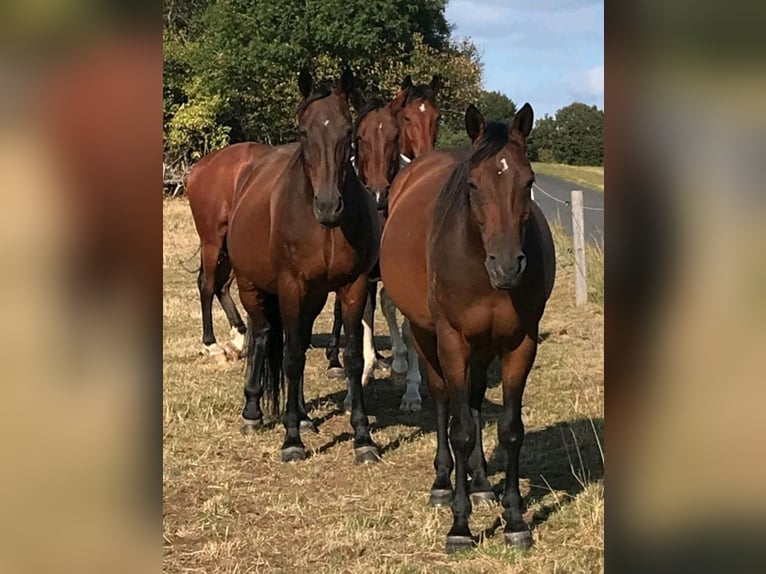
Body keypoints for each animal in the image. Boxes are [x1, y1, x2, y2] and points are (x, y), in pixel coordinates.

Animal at [186, 142, 272, 362]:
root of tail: (202, 166)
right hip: (212, 241)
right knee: (207, 285)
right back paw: (212, 344)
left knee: (221, 286)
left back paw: (238, 339)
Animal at [228, 71, 384, 468]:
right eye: (302, 131)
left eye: (348, 130)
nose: (328, 207)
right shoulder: (290, 286)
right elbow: (293, 357)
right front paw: (291, 440)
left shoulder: (353, 285)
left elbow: (352, 358)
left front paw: (363, 438)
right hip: (252, 287)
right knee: (265, 335)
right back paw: (253, 411)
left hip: (311, 298)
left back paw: (302, 415)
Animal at [380, 103, 556, 552]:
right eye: (473, 185)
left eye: (529, 181)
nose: (508, 266)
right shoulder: (452, 341)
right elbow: (459, 429)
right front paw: (460, 526)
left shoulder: (520, 344)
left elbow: (510, 431)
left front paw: (515, 520)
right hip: (427, 335)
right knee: (444, 399)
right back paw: (444, 483)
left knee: (474, 403)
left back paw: (480, 483)